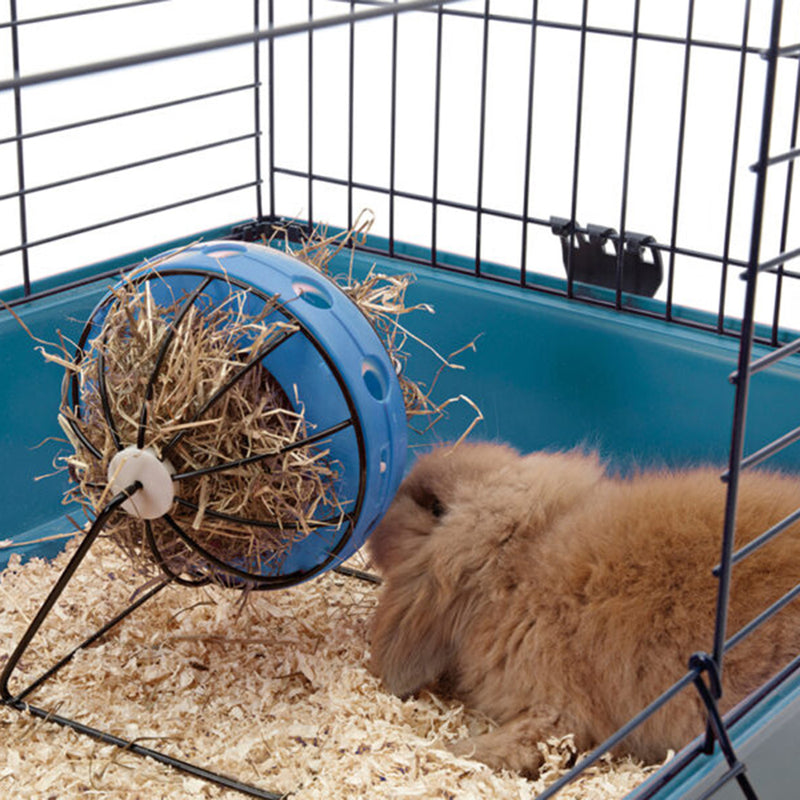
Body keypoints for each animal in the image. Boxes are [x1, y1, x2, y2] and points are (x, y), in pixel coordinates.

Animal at [367, 441, 800, 777]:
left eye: (434, 506)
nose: (391, 498)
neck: (516, 558)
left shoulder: (557, 709)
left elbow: (520, 741)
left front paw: (449, 753)